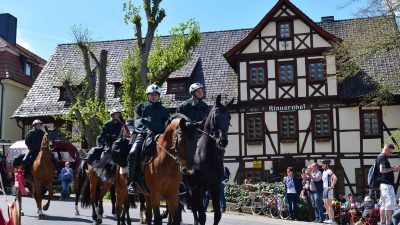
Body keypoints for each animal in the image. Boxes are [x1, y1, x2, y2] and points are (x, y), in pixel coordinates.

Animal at [186, 94, 233, 225]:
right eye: (215, 117)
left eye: (229, 117)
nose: (223, 141)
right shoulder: (199, 188)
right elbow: (202, 216)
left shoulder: (215, 188)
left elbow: (217, 215)